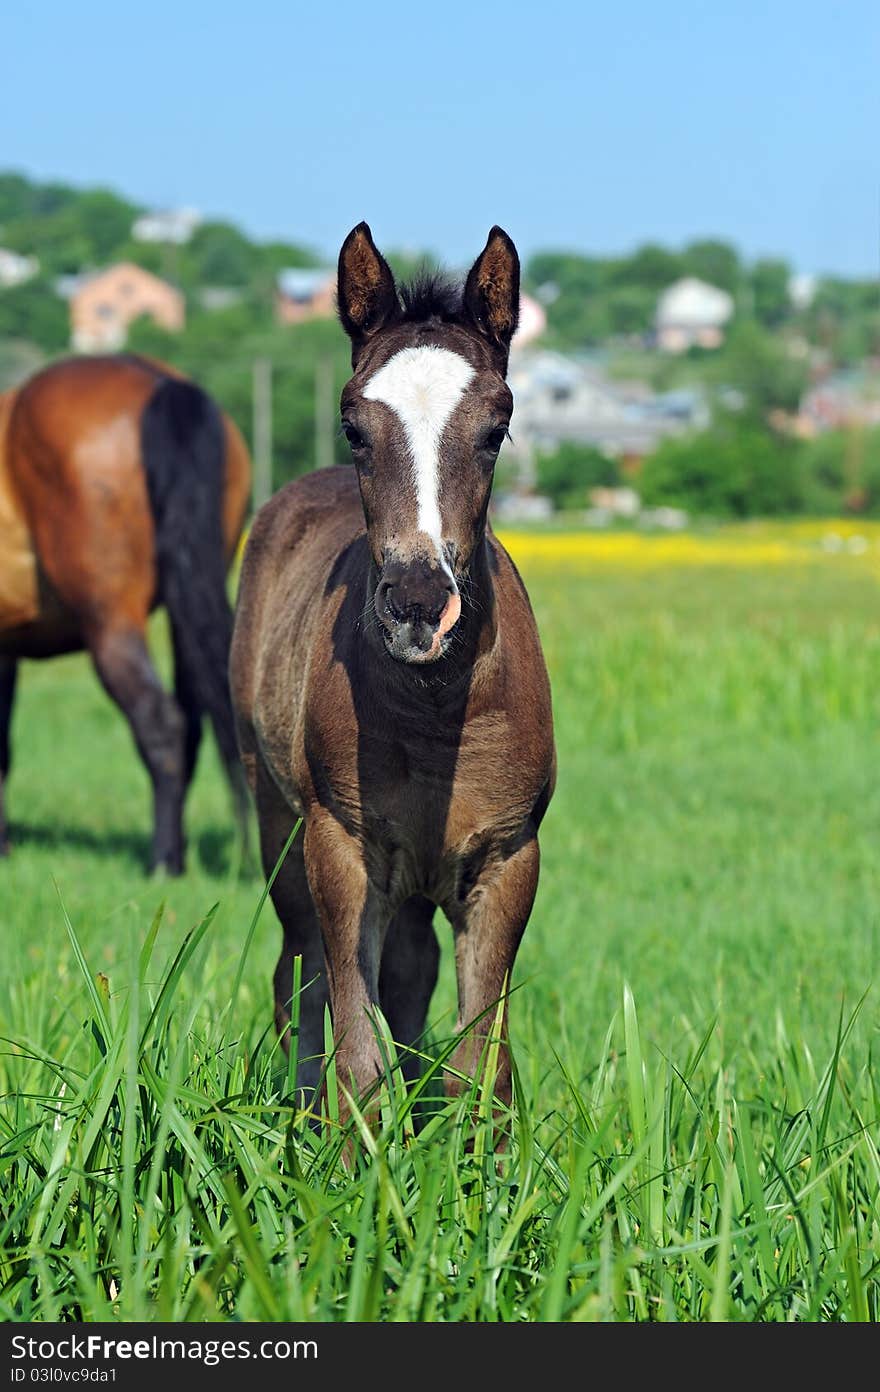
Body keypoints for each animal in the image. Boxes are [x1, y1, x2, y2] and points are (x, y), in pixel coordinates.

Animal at [0, 353, 250, 868]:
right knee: (192, 725)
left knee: (161, 723)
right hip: (186, 611)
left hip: (110, 624)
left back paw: (163, 863)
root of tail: (160, 382)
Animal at [229, 222, 554, 1119]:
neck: (435, 712)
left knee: (410, 971)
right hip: (276, 821)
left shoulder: (507, 857)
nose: (416, 601)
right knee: (300, 974)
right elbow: (355, 1052)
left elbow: (483, 1069)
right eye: (353, 426)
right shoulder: (343, 848)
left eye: (496, 428)